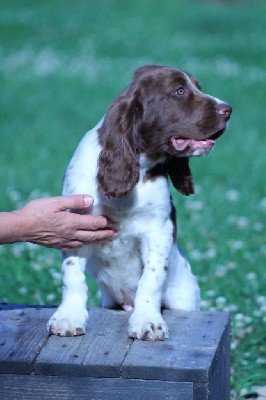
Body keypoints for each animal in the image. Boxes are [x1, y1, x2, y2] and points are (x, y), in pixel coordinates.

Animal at [47, 65, 231, 340]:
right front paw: (67, 317)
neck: (139, 166)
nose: (228, 109)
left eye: (197, 87)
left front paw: (148, 322)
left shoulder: (158, 230)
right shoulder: (76, 223)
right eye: (179, 91)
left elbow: (151, 280)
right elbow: (72, 276)